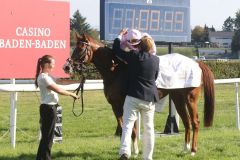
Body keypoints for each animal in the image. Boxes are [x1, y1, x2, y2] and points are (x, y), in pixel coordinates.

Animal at [62, 33, 215, 155]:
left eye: (81, 48)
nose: (67, 67)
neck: (116, 71)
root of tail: (196, 63)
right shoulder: (115, 106)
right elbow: (124, 127)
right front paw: (129, 150)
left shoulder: (126, 104)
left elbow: (131, 129)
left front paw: (133, 151)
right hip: (178, 99)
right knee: (187, 122)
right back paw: (185, 149)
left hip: (190, 99)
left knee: (195, 122)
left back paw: (193, 150)